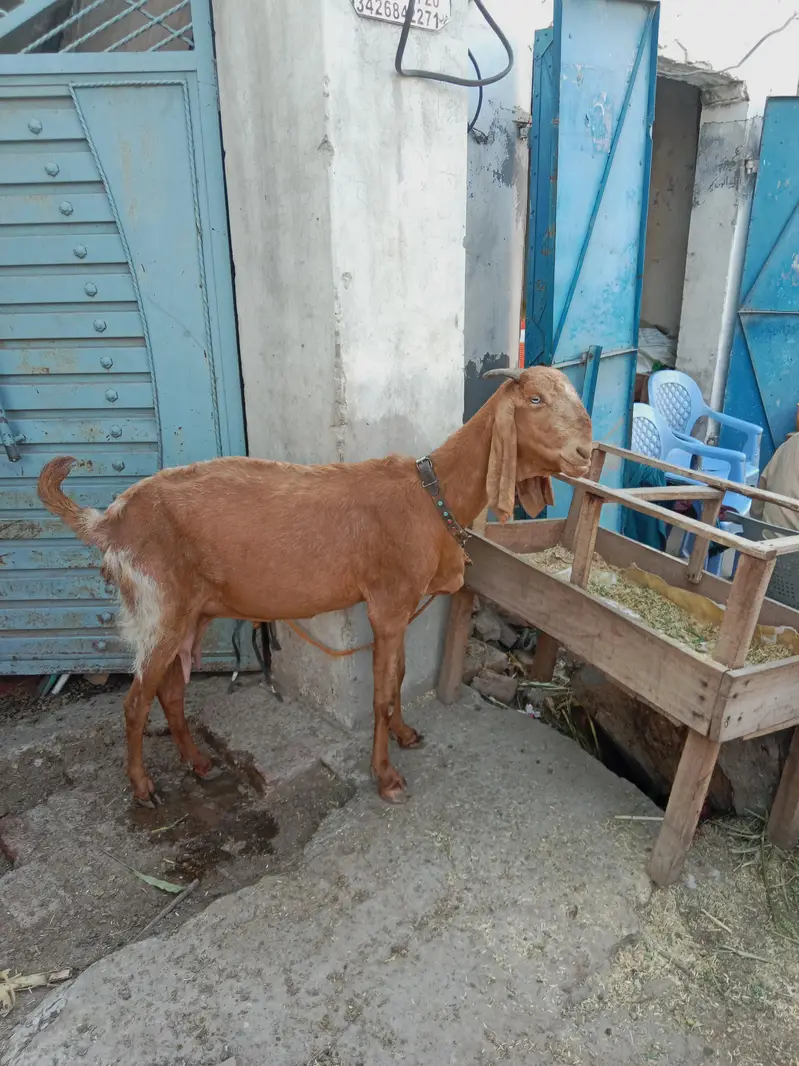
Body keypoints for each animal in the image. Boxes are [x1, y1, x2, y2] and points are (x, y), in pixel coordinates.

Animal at [38, 366, 592, 806]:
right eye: (535, 400)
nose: (586, 451)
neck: (429, 496)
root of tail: (111, 520)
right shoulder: (387, 605)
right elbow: (382, 694)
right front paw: (386, 778)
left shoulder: (399, 608)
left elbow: (398, 678)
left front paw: (406, 734)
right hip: (158, 610)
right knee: (136, 702)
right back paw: (142, 788)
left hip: (187, 614)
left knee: (171, 692)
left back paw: (199, 763)